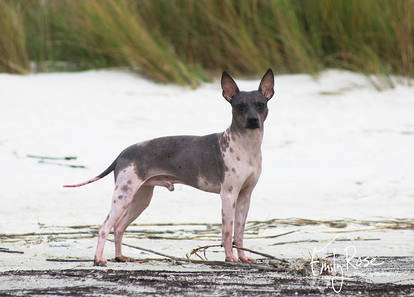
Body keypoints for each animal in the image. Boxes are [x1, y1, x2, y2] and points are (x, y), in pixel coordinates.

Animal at [64, 69, 274, 266]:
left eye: (260, 104)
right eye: (240, 106)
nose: (253, 120)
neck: (246, 148)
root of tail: (123, 153)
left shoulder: (245, 196)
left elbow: (239, 232)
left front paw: (243, 258)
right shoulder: (228, 195)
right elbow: (228, 231)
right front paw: (230, 258)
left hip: (141, 199)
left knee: (119, 227)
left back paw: (120, 256)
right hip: (123, 196)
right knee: (104, 227)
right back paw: (98, 259)